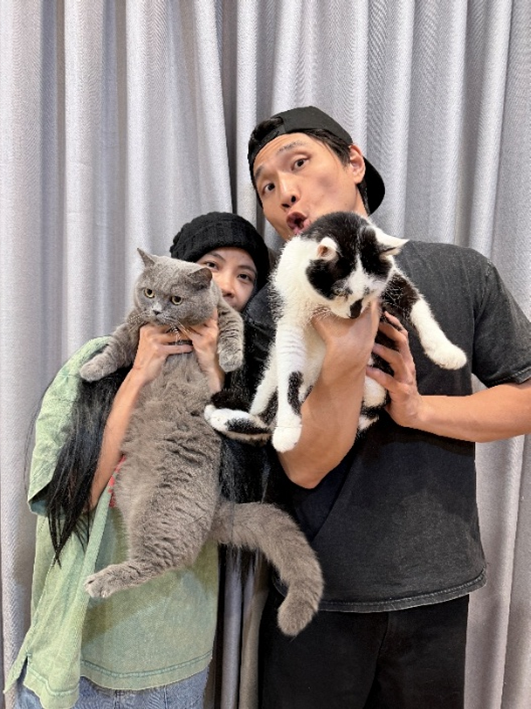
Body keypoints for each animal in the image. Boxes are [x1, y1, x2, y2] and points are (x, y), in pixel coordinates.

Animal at [81, 250, 323, 637]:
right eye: (148, 292)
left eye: (177, 299)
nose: (157, 311)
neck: (170, 332)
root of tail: (214, 511)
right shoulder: (135, 325)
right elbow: (117, 345)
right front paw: (90, 368)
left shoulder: (223, 312)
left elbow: (233, 327)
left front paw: (229, 356)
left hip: (160, 515)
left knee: (155, 562)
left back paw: (101, 581)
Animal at [205, 211, 467, 452]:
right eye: (340, 292)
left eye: (368, 292)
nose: (355, 313)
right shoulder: (288, 310)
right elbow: (290, 372)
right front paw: (288, 429)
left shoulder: (392, 278)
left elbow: (415, 302)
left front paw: (445, 351)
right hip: (275, 378)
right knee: (267, 419)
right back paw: (222, 416)